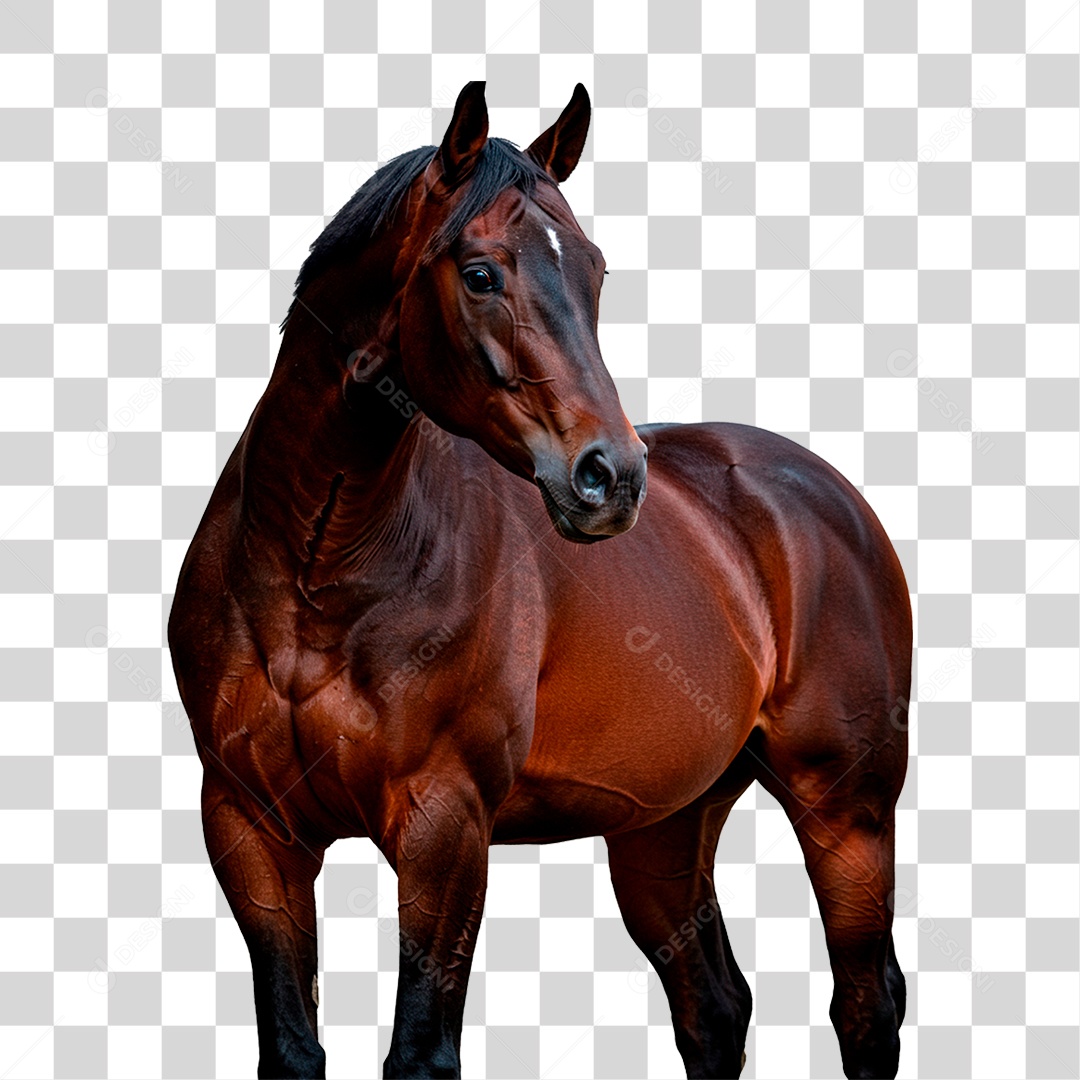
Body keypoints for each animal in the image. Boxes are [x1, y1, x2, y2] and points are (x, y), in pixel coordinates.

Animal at [169, 81, 910, 1080]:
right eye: (480, 274)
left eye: (594, 271)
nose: (612, 477)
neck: (319, 571)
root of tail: (824, 495)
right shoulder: (251, 829)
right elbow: (291, 1047)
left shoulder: (445, 828)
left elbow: (420, 1053)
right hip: (664, 827)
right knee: (715, 1010)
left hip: (847, 811)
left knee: (866, 1006)